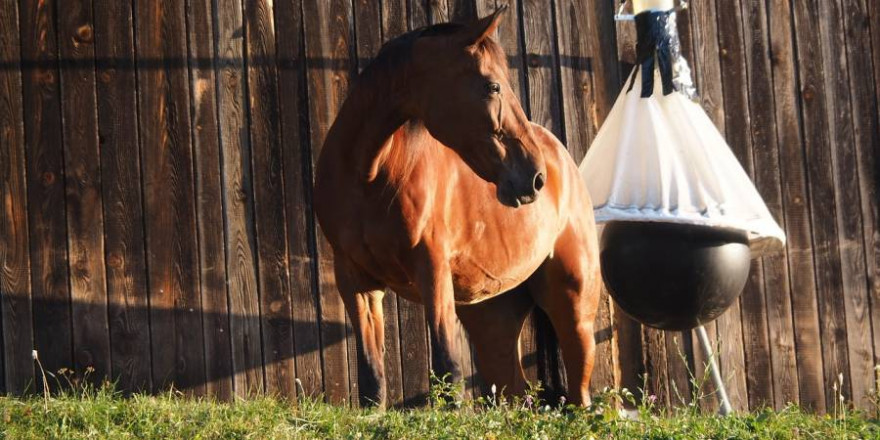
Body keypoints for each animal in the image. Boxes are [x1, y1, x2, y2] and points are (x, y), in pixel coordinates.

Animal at [312, 6, 600, 410]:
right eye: (492, 86)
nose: (535, 178)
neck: (368, 177)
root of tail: (562, 158)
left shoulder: (432, 270)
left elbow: (447, 365)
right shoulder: (355, 280)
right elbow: (372, 377)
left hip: (574, 309)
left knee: (581, 395)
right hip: (492, 316)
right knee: (515, 389)